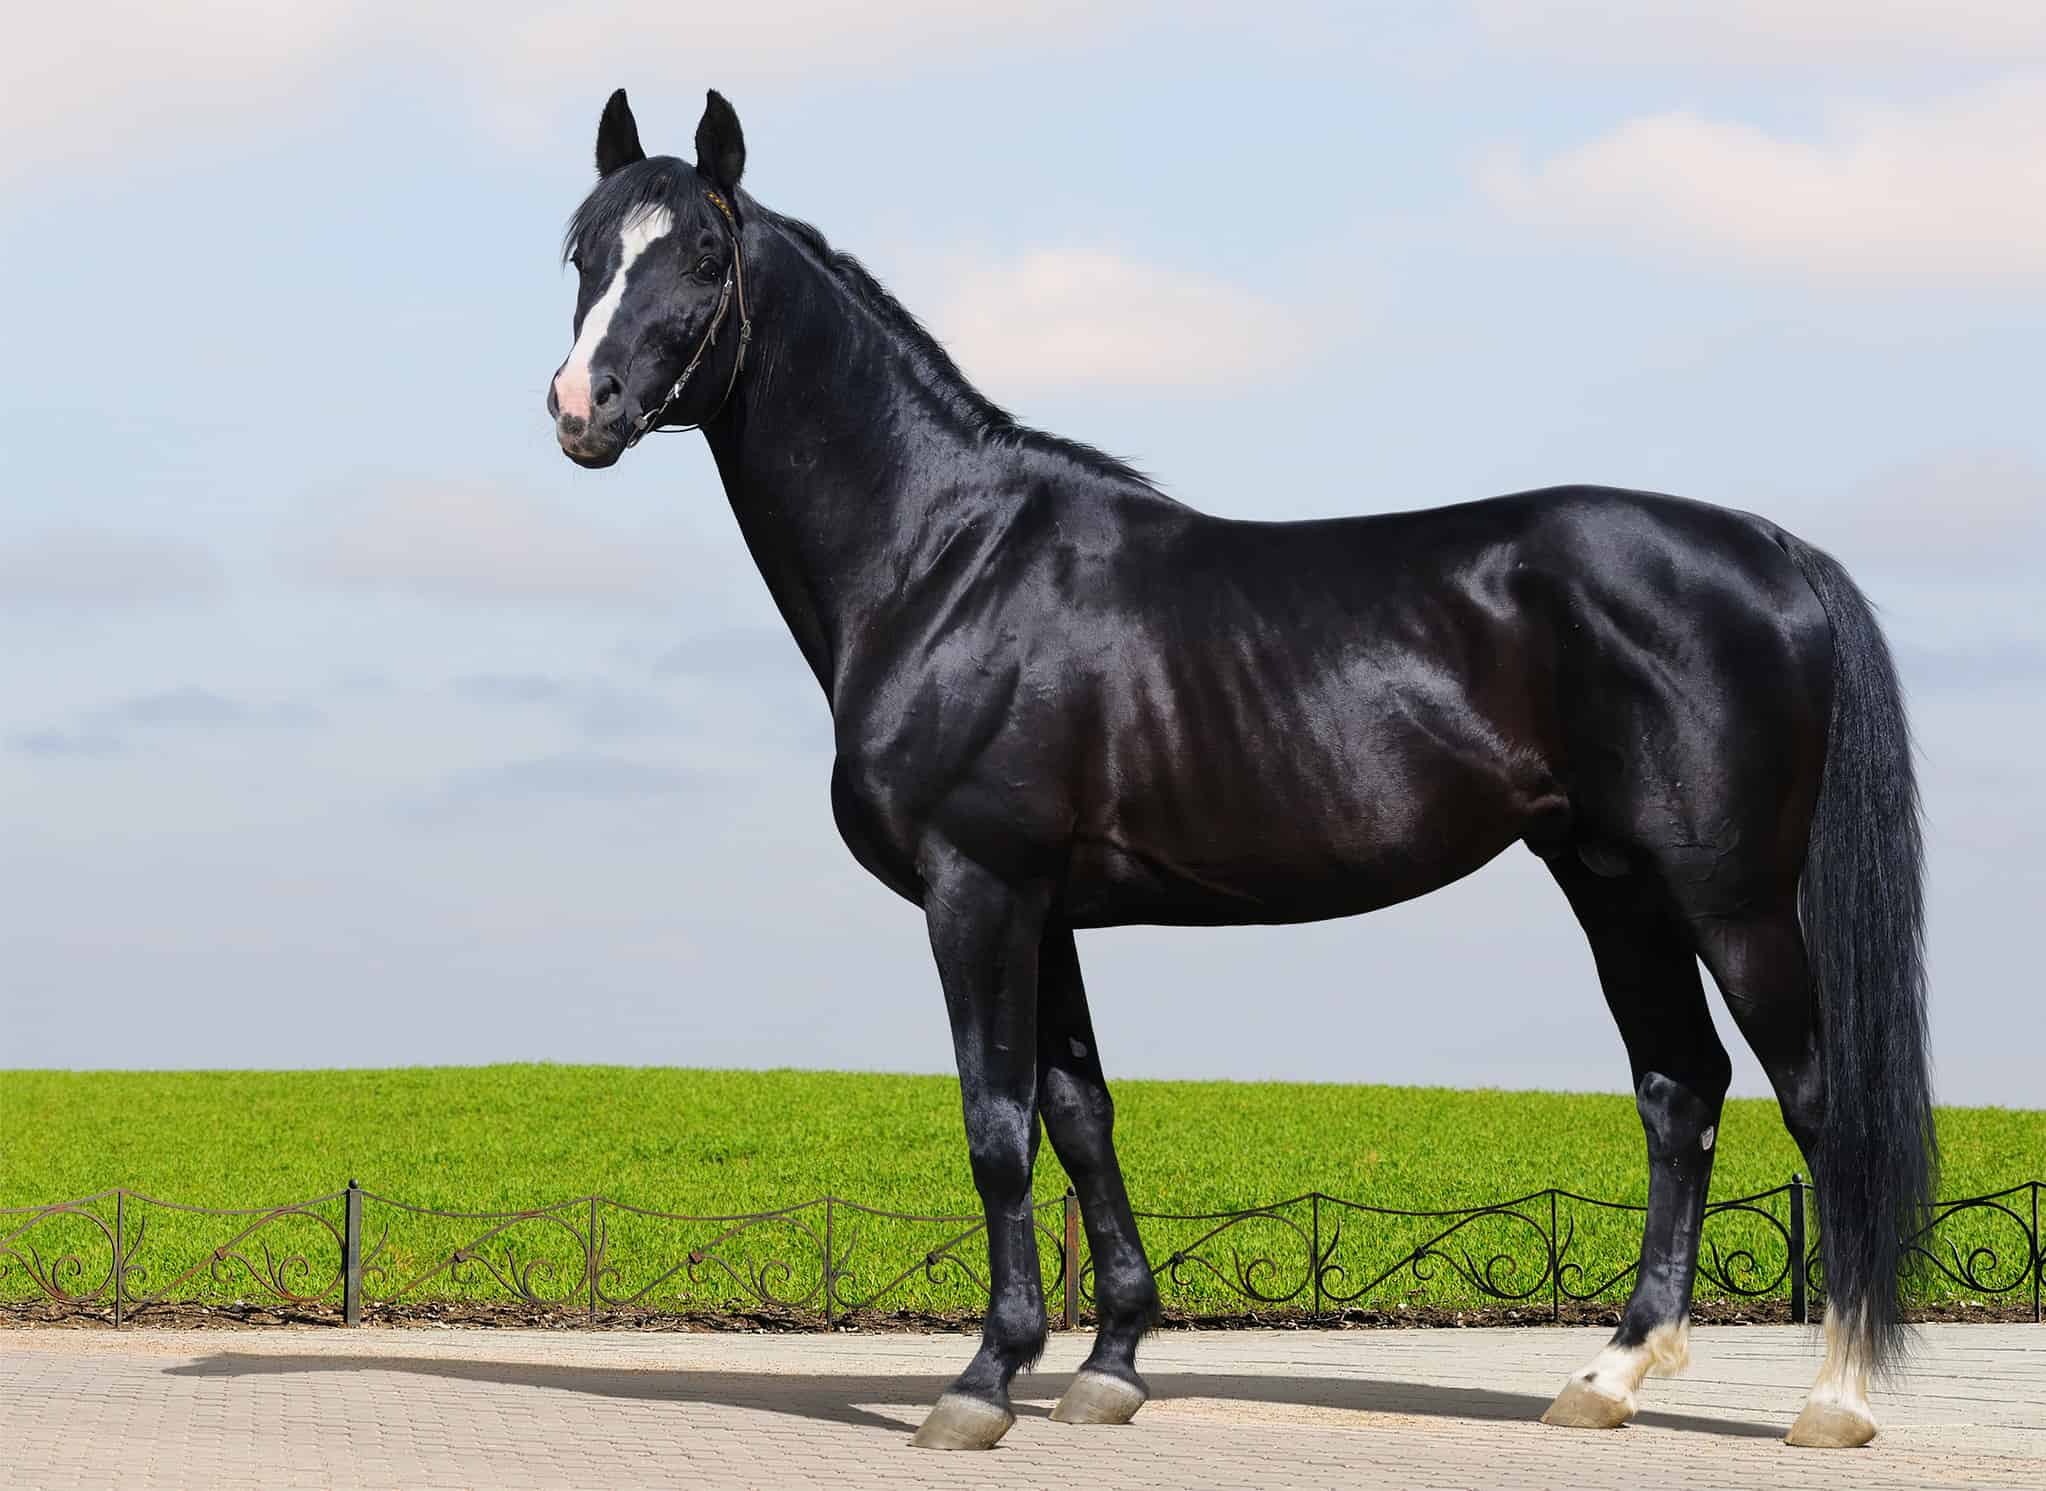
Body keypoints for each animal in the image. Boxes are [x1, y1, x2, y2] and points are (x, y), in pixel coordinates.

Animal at [545, 88, 1936, 1452]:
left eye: (706, 254)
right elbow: (1080, 1117)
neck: (946, 559)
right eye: (585, 252)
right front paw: (1108, 1366)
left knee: (1818, 1099)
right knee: (1679, 1091)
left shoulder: (977, 890)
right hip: (1614, 884)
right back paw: (1608, 1378)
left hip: (1729, 899)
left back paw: (1833, 1401)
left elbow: (997, 1125)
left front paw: (983, 1383)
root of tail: (1768, 546)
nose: (579, 407)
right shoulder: (1048, 910)